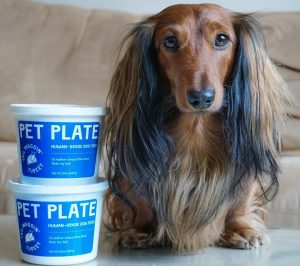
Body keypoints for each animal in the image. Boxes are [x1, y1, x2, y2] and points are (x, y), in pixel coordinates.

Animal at [102, 3, 290, 251]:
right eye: (170, 41)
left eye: (222, 39)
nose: (201, 98)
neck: (195, 130)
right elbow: (140, 199)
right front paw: (138, 229)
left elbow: (241, 199)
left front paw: (240, 230)